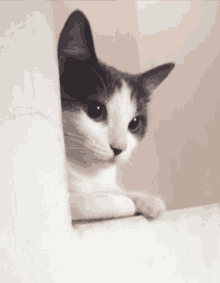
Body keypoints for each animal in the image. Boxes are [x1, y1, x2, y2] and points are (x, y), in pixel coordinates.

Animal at [57, 9, 174, 224]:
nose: (119, 148)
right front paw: (124, 202)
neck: (89, 173)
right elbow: (83, 202)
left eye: (134, 123)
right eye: (96, 110)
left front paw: (147, 200)